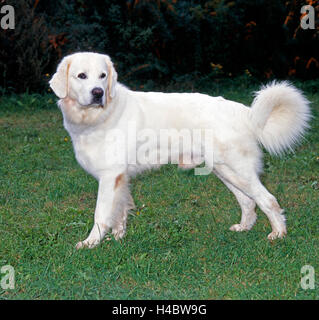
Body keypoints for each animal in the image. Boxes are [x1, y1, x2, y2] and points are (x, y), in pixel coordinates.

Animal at [50, 52, 312, 249]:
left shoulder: (109, 176)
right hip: (226, 171)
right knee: (248, 202)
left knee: (268, 200)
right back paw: (244, 228)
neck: (98, 116)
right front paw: (118, 238)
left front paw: (91, 242)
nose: (98, 92)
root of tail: (243, 111)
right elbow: (119, 212)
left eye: (102, 76)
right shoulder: (119, 179)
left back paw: (278, 234)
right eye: (81, 76)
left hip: (238, 171)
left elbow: (101, 214)